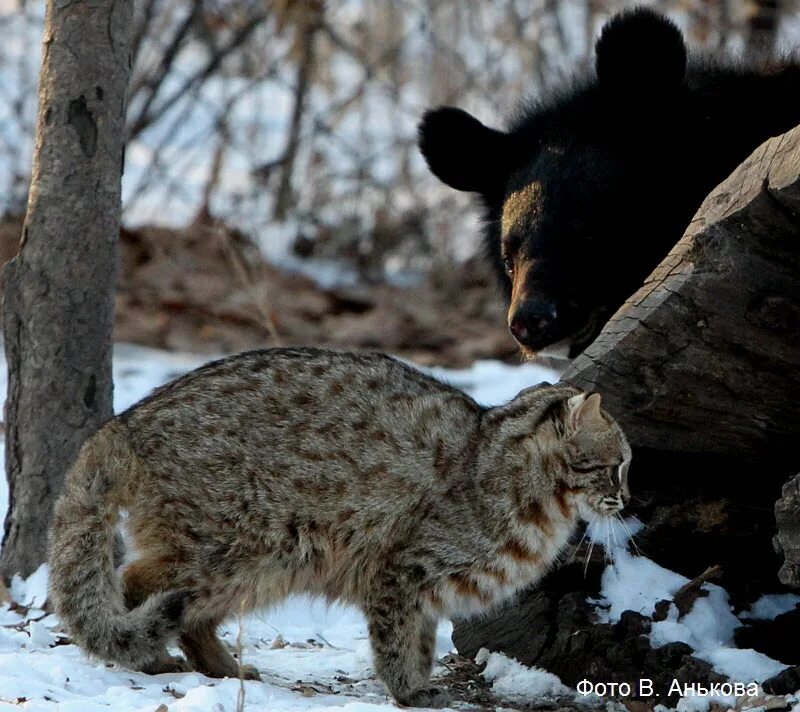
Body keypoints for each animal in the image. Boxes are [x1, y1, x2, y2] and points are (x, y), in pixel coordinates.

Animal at [48, 346, 632, 708]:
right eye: (619, 464)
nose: (628, 498)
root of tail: (128, 420)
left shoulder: (422, 589)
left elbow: (422, 640)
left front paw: (418, 685)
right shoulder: (402, 570)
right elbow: (398, 642)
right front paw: (409, 692)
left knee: (185, 612)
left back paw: (221, 667)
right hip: (239, 548)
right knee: (136, 586)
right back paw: (151, 656)